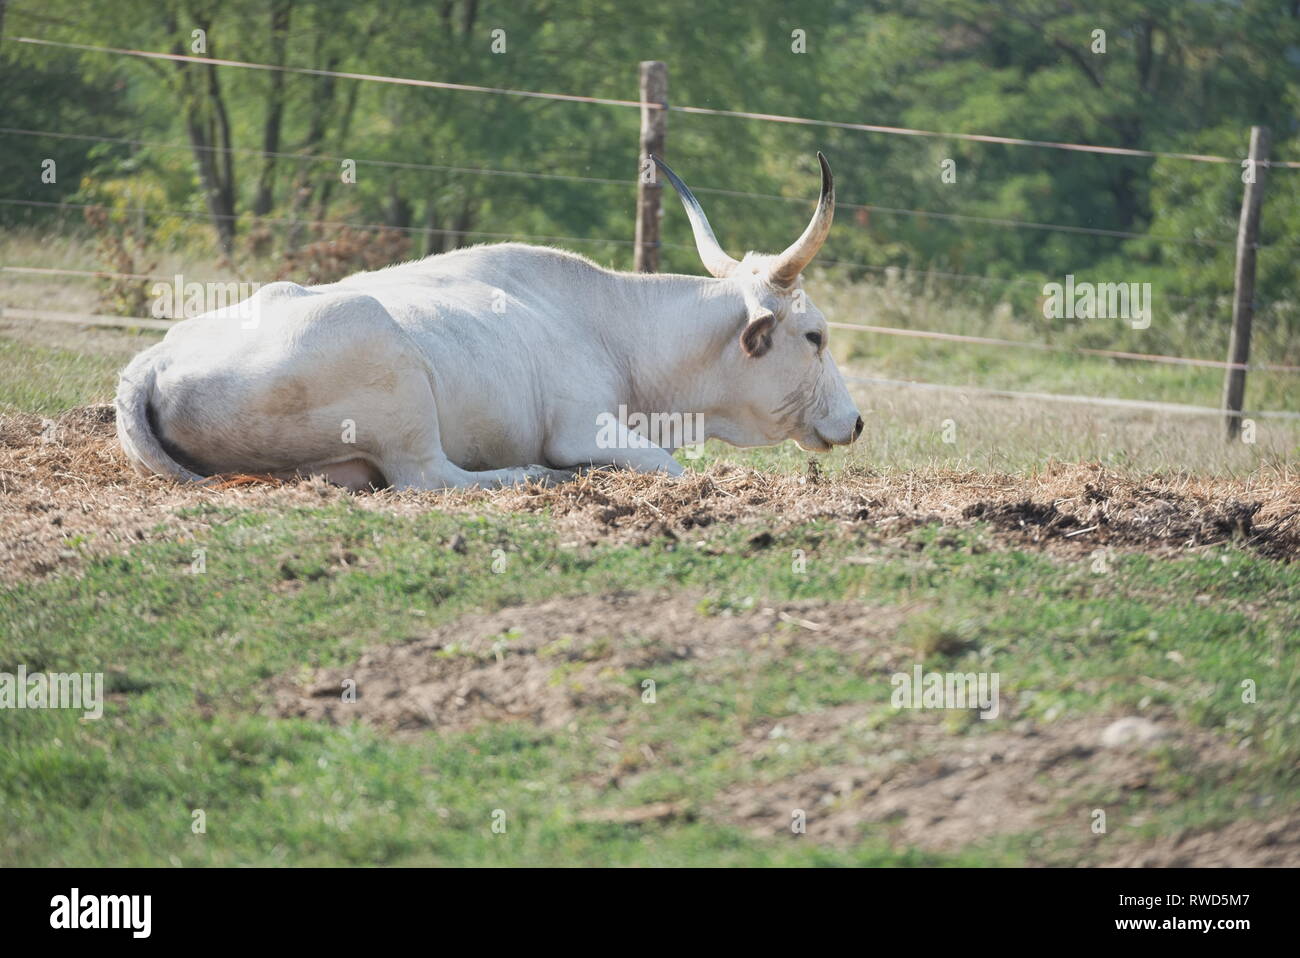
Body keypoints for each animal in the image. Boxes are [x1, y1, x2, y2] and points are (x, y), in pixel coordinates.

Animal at [114, 154, 863, 493]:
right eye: (815, 336)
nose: (856, 422)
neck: (613, 329)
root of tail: (152, 362)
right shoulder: (581, 427)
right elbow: (671, 468)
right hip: (393, 384)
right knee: (430, 477)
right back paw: (530, 476)